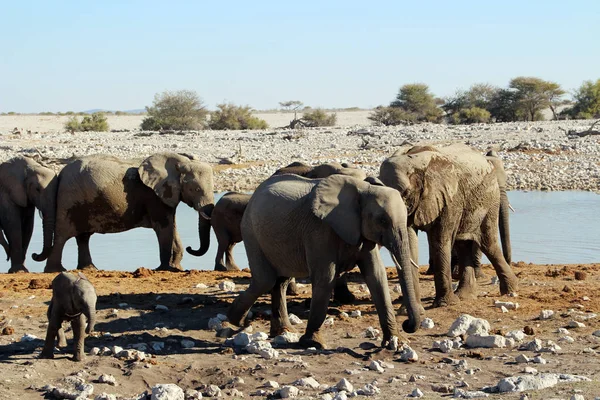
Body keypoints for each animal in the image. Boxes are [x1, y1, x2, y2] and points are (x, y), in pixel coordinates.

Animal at [38, 152, 214, 272]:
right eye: (195, 189)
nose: (192, 248)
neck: (180, 162)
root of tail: (60, 174)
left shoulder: (167, 195)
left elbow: (172, 225)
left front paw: (176, 267)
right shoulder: (153, 195)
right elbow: (164, 227)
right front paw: (165, 269)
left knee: (83, 237)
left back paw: (89, 269)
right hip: (69, 199)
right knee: (63, 235)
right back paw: (55, 270)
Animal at [226, 173, 422, 348]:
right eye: (382, 220)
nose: (407, 324)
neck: (362, 189)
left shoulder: (360, 232)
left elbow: (377, 276)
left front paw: (396, 343)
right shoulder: (319, 230)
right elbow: (325, 277)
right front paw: (313, 343)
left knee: (279, 282)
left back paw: (282, 331)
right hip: (251, 231)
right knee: (265, 280)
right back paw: (234, 321)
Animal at [382, 143, 516, 306]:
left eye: (406, 193)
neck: (416, 160)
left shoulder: (450, 198)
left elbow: (440, 240)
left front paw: (445, 304)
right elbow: (410, 240)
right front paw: (406, 309)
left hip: (490, 199)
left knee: (487, 243)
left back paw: (509, 290)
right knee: (463, 244)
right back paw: (465, 296)